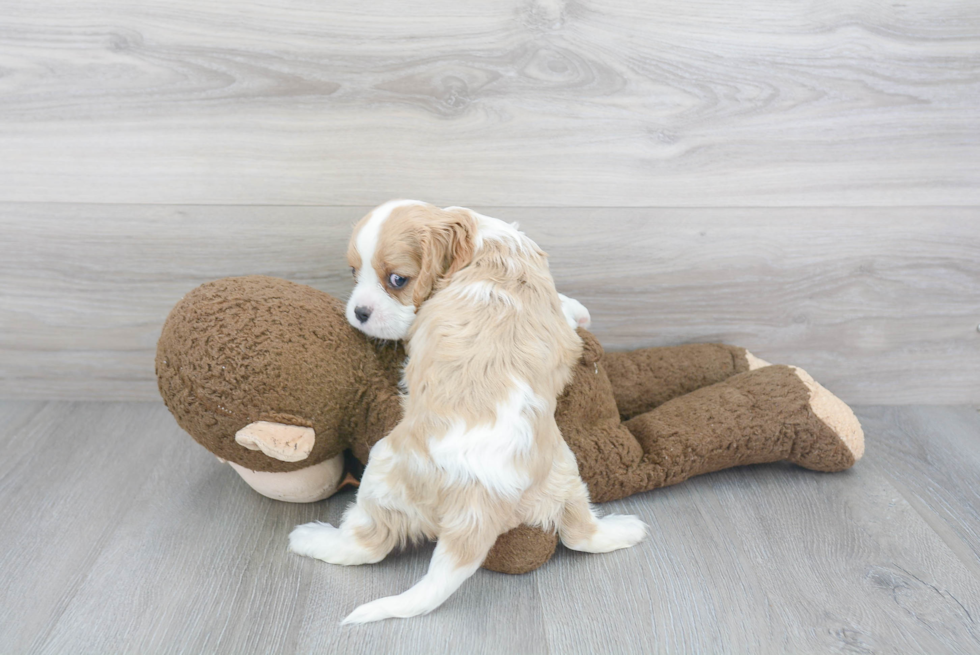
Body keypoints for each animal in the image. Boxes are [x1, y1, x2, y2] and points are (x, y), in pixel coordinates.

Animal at [288, 201, 648, 624]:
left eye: (397, 280)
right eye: (353, 272)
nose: (359, 312)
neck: (479, 239)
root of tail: (480, 501)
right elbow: (562, 308)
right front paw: (578, 310)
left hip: (384, 466)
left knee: (368, 544)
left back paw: (311, 538)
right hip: (564, 472)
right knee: (579, 533)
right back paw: (624, 530)